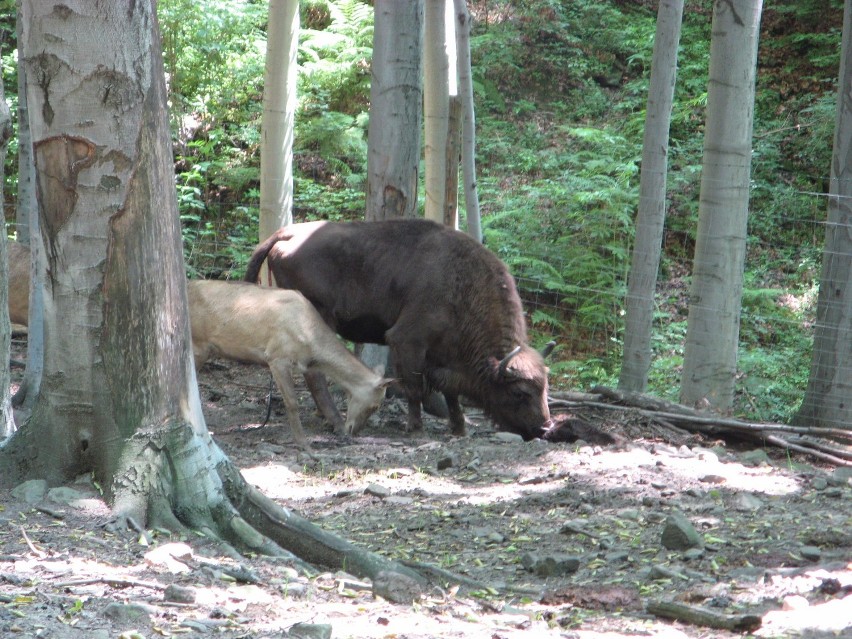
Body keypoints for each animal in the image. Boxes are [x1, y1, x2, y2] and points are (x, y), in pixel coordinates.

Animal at [243, 220, 556, 440]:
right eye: (520, 393)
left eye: (545, 388)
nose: (544, 427)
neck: (460, 285)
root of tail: (286, 233)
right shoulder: (407, 341)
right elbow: (415, 386)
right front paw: (416, 428)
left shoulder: (443, 354)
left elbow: (449, 389)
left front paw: (459, 427)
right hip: (319, 318)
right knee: (315, 372)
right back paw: (335, 420)